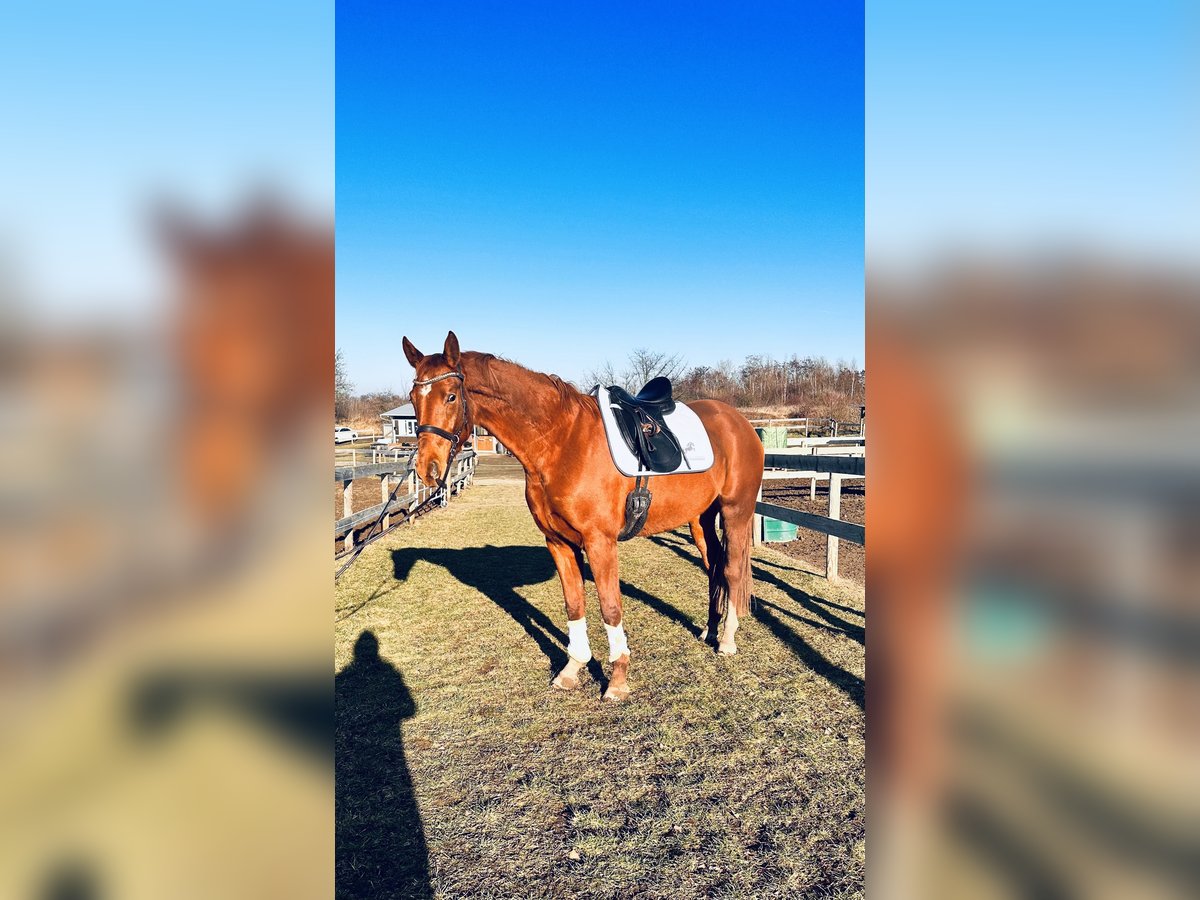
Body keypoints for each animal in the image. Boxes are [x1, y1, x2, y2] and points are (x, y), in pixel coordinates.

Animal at [400, 333, 758, 705]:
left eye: (451, 396)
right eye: (413, 398)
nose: (427, 469)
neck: (561, 441)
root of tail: (739, 422)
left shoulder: (600, 542)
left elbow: (610, 607)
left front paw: (617, 680)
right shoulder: (558, 543)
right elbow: (574, 605)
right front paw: (572, 669)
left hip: (736, 512)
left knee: (732, 570)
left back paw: (727, 640)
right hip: (700, 520)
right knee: (714, 567)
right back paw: (710, 630)